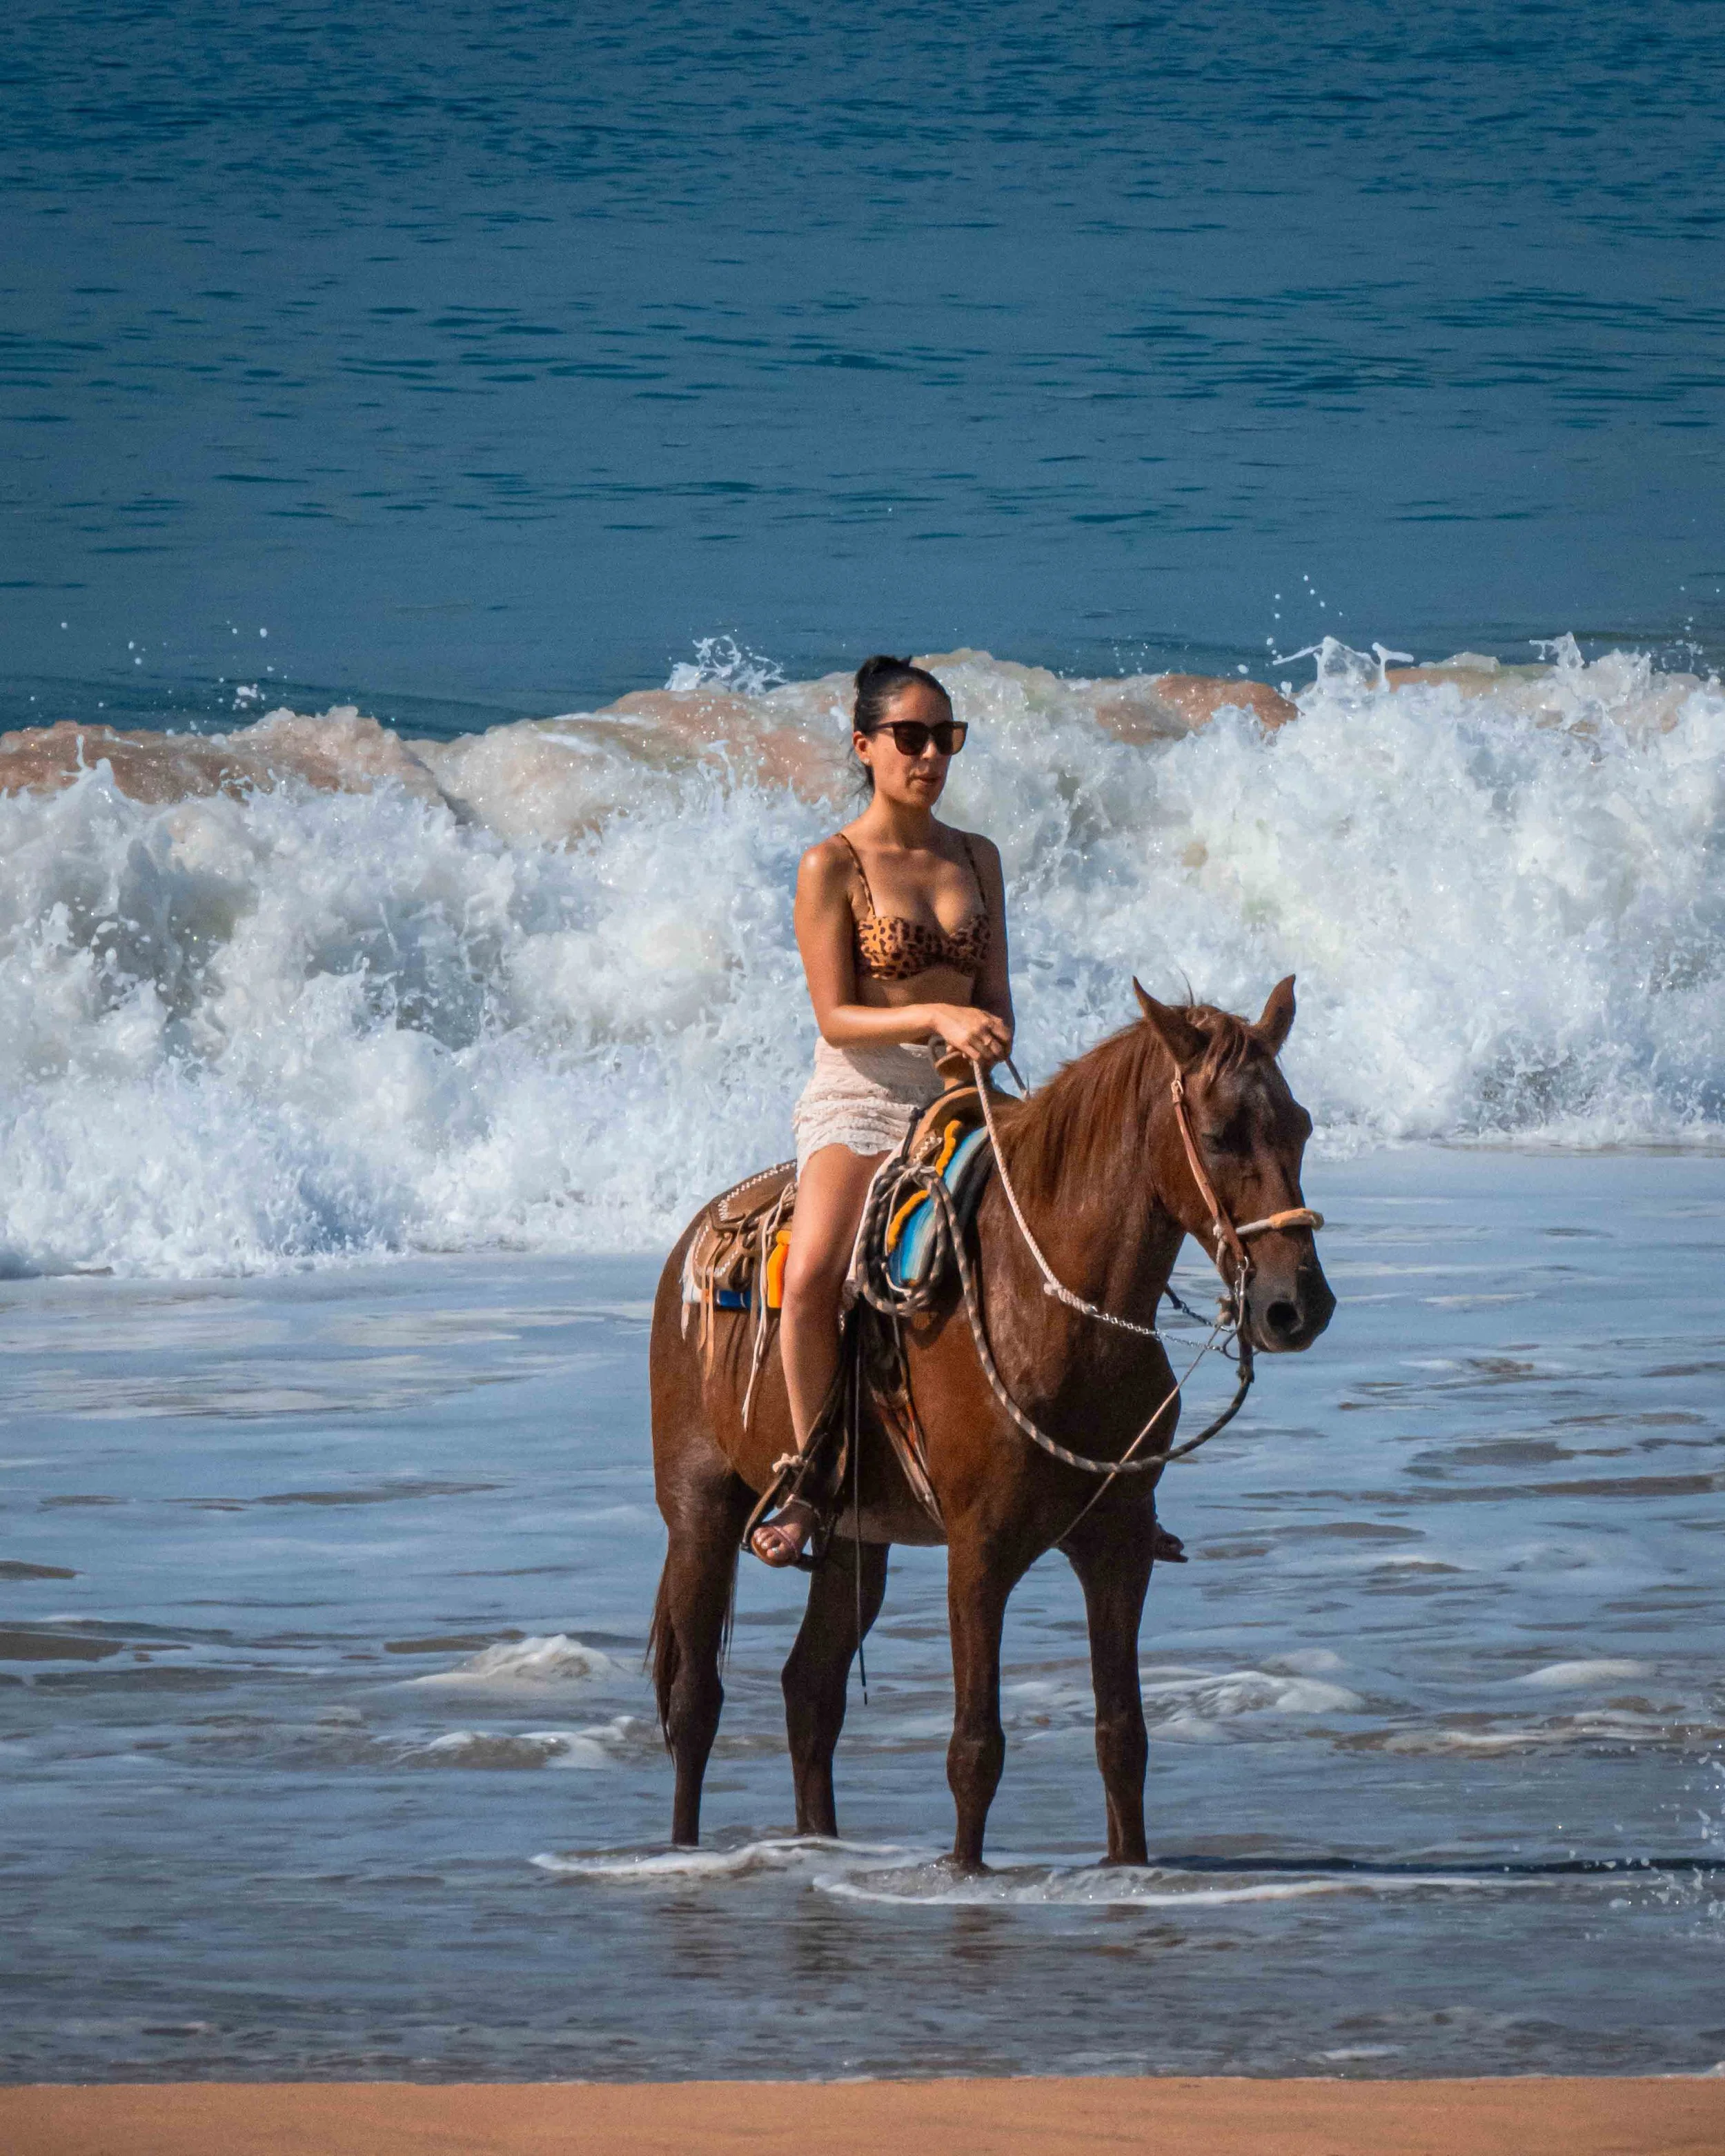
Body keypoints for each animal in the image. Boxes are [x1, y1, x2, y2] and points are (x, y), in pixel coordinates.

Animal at [646, 976, 1335, 1868]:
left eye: (1301, 1125)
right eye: (1218, 1135)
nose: (1296, 1306)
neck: (1048, 1304)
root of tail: (696, 1236)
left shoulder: (1118, 1544)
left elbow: (1123, 1736)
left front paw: (1127, 1867)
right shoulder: (978, 1551)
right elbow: (975, 1745)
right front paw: (965, 1872)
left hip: (855, 1537)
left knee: (810, 1690)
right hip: (700, 1508)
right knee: (696, 1702)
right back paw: (683, 1850)